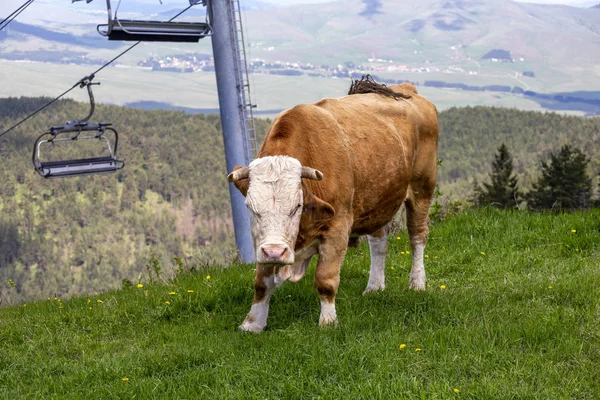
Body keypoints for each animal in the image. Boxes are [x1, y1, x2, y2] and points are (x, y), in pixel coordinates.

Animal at [227, 77, 438, 332]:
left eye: (297, 206)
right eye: (251, 208)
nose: (276, 252)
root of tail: (406, 89)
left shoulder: (338, 226)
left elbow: (325, 279)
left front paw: (328, 321)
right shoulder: (265, 243)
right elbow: (261, 283)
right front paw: (253, 323)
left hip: (421, 189)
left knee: (417, 236)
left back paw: (416, 282)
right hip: (378, 198)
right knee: (379, 242)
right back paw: (374, 286)